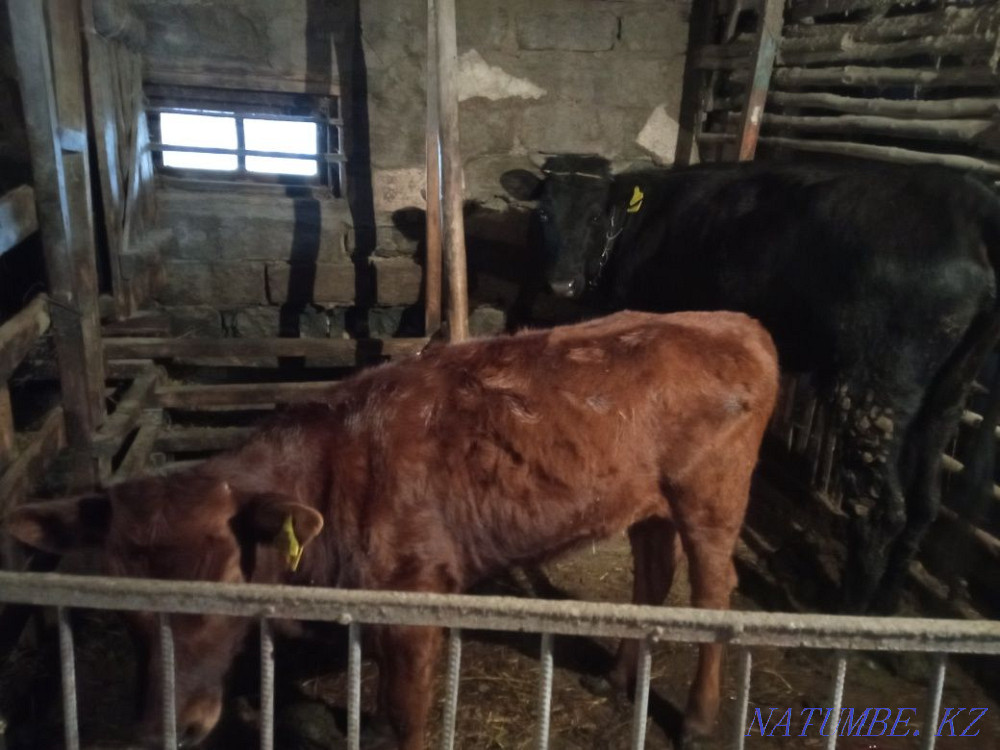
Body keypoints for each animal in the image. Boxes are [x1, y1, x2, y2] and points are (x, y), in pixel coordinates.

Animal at [6, 311, 777, 750]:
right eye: (120, 600)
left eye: (227, 576)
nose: (169, 729)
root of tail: (733, 321)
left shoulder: (416, 594)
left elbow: (407, 715)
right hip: (645, 501)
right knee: (652, 577)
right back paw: (618, 679)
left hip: (711, 497)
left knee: (714, 593)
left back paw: (699, 720)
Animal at [503, 155, 1000, 615]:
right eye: (543, 214)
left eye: (594, 216)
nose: (561, 283)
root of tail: (970, 201)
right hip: (947, 394)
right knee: (924, 504)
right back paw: (886, 608)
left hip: (873, 389)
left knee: (881, 511)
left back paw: (850, 618)